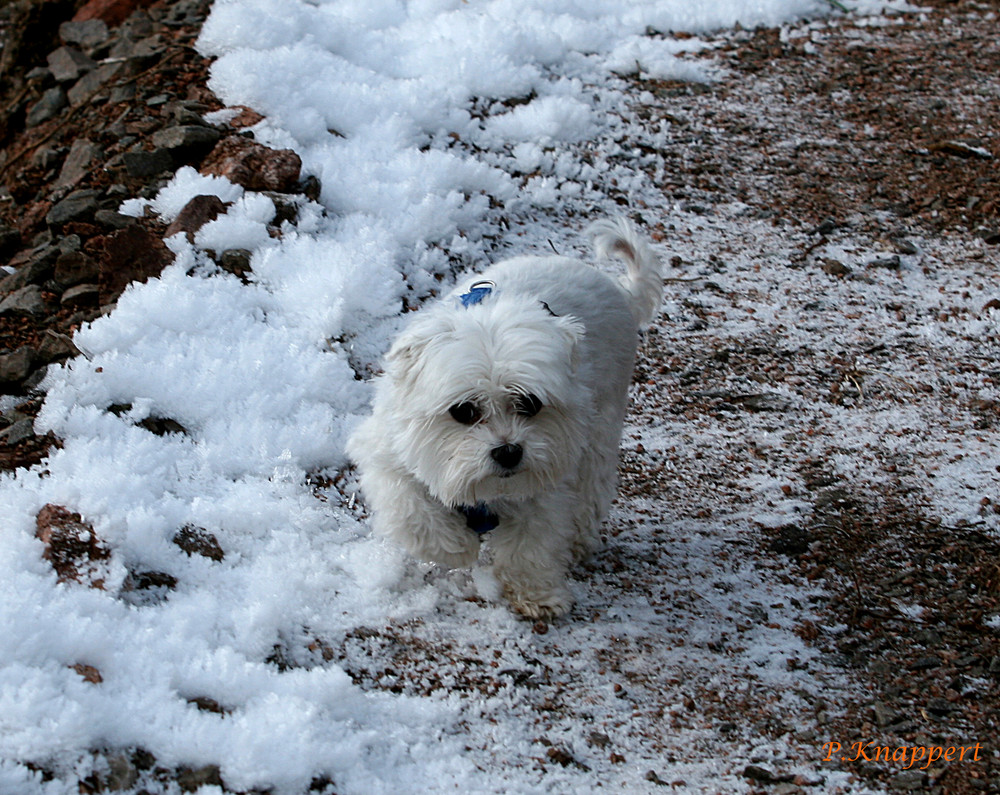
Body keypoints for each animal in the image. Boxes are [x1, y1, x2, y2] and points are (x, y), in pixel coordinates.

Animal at [348, 219, 660, 620]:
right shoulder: (389, 459)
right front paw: (457, 546)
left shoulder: (543, 485)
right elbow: (415, 513)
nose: (509, 451)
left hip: (599, 433)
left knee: (590, 493)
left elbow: (530, 545)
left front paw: (537, 594)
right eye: (464, 411)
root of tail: (618, 290)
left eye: (530, 403)